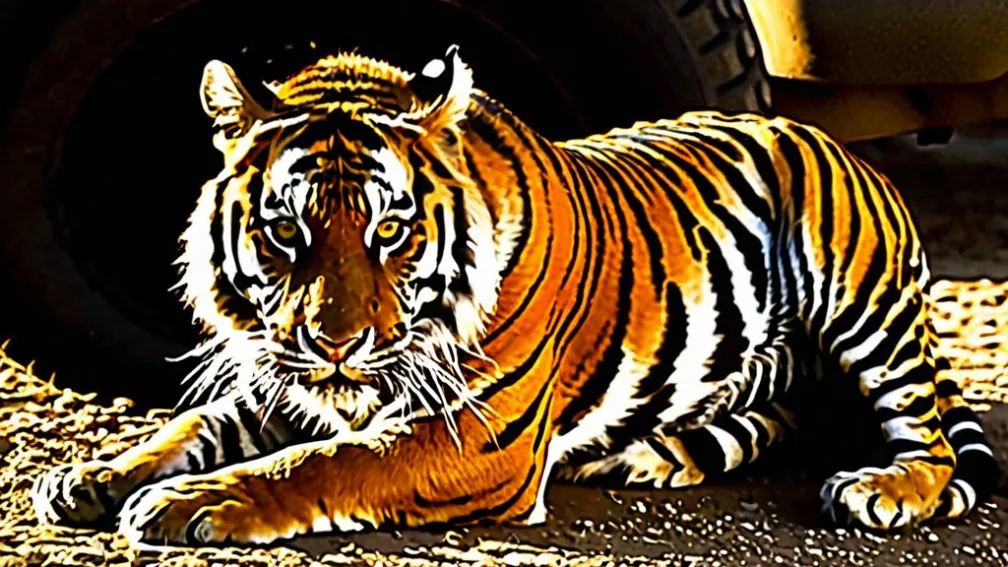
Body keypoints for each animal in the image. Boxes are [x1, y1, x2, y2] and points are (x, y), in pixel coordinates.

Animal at [31, 45, 999, 547]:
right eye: (286, 230)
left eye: (390, 230)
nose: (338, 344)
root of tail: (815, 129)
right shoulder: (291, 378)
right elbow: (193, 425)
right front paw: (92, 474)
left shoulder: (472, 434)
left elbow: (320, 463)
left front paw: (191, 504)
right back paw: (643, 453)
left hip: (865, 300)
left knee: (930, 439)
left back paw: (886, 488)